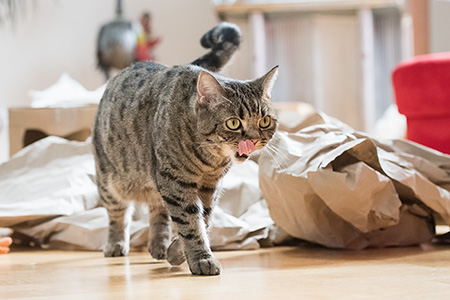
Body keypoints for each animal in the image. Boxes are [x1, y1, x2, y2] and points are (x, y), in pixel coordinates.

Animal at [92, 22, 278, 276]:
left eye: (264, 121)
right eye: (233, 123)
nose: (255, 139)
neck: (209, 158)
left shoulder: (210, 186)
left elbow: (203, 219)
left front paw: (177, 251)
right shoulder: (175, 181)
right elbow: (190, 222)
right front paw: (201, 258)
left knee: (158, 210)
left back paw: (159, 246)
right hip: (110, 181)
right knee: (117, 214)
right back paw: (116, 243)